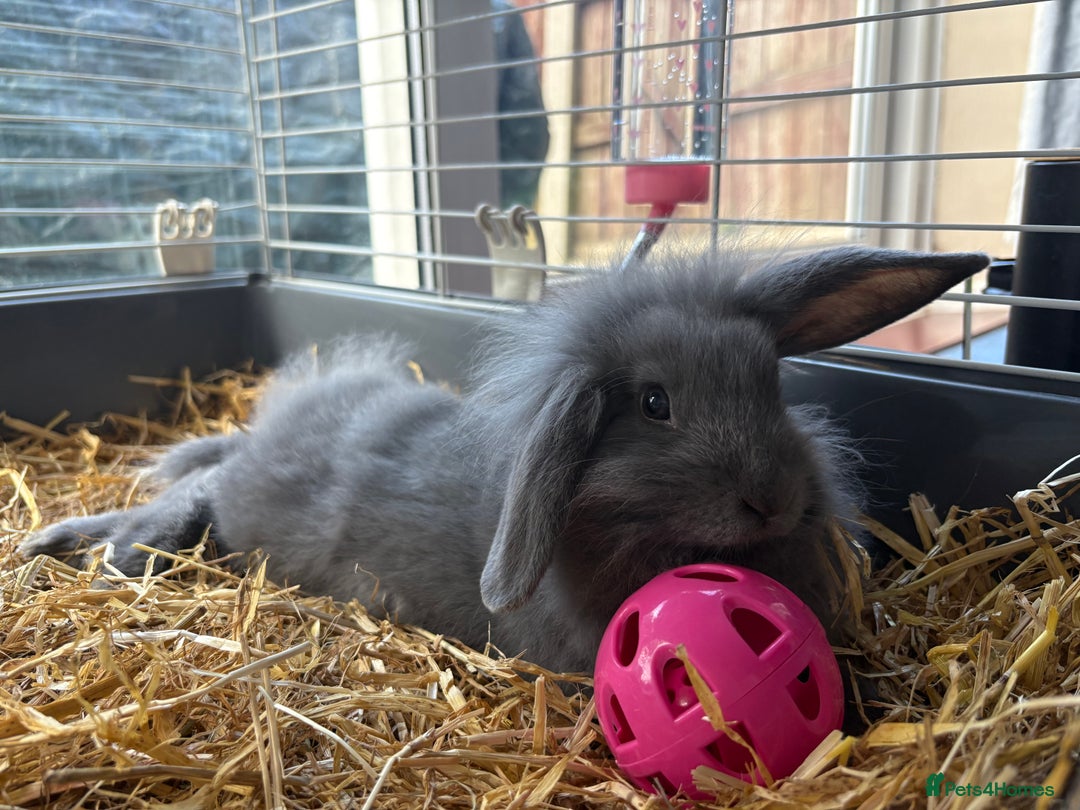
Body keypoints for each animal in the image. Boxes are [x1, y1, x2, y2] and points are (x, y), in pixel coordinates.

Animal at [23, 245, 988, 678]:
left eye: (773, 386)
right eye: (654, 405)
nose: (773, 501)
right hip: (230, 507)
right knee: (181, 501)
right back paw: (80, 550)